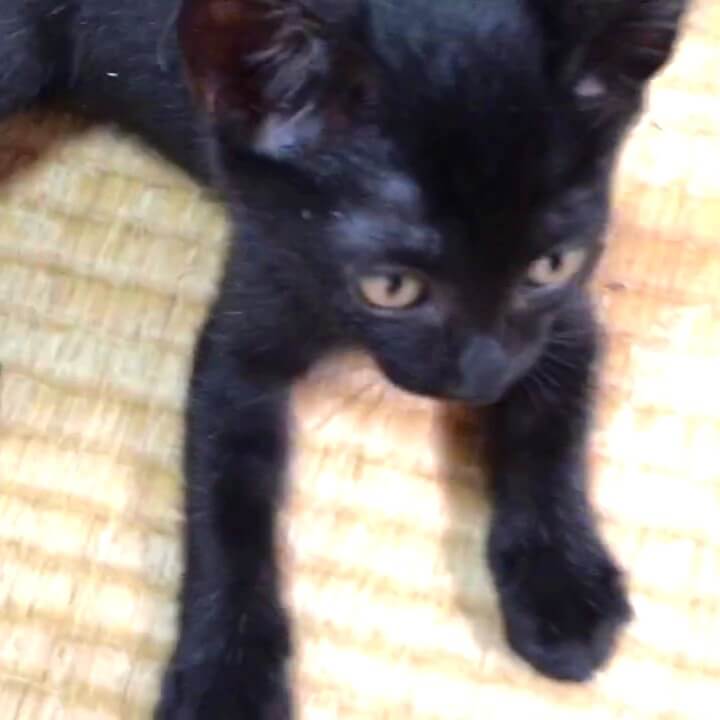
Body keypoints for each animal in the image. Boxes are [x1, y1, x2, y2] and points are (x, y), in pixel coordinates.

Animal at [0, 0, 689, 717]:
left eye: (550, 266)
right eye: (390, 287)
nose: (481, 378)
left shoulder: (563, 320)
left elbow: (549, 431)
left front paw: (561, 582)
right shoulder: (252, 309)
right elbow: (227, 510)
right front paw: (227, 676)